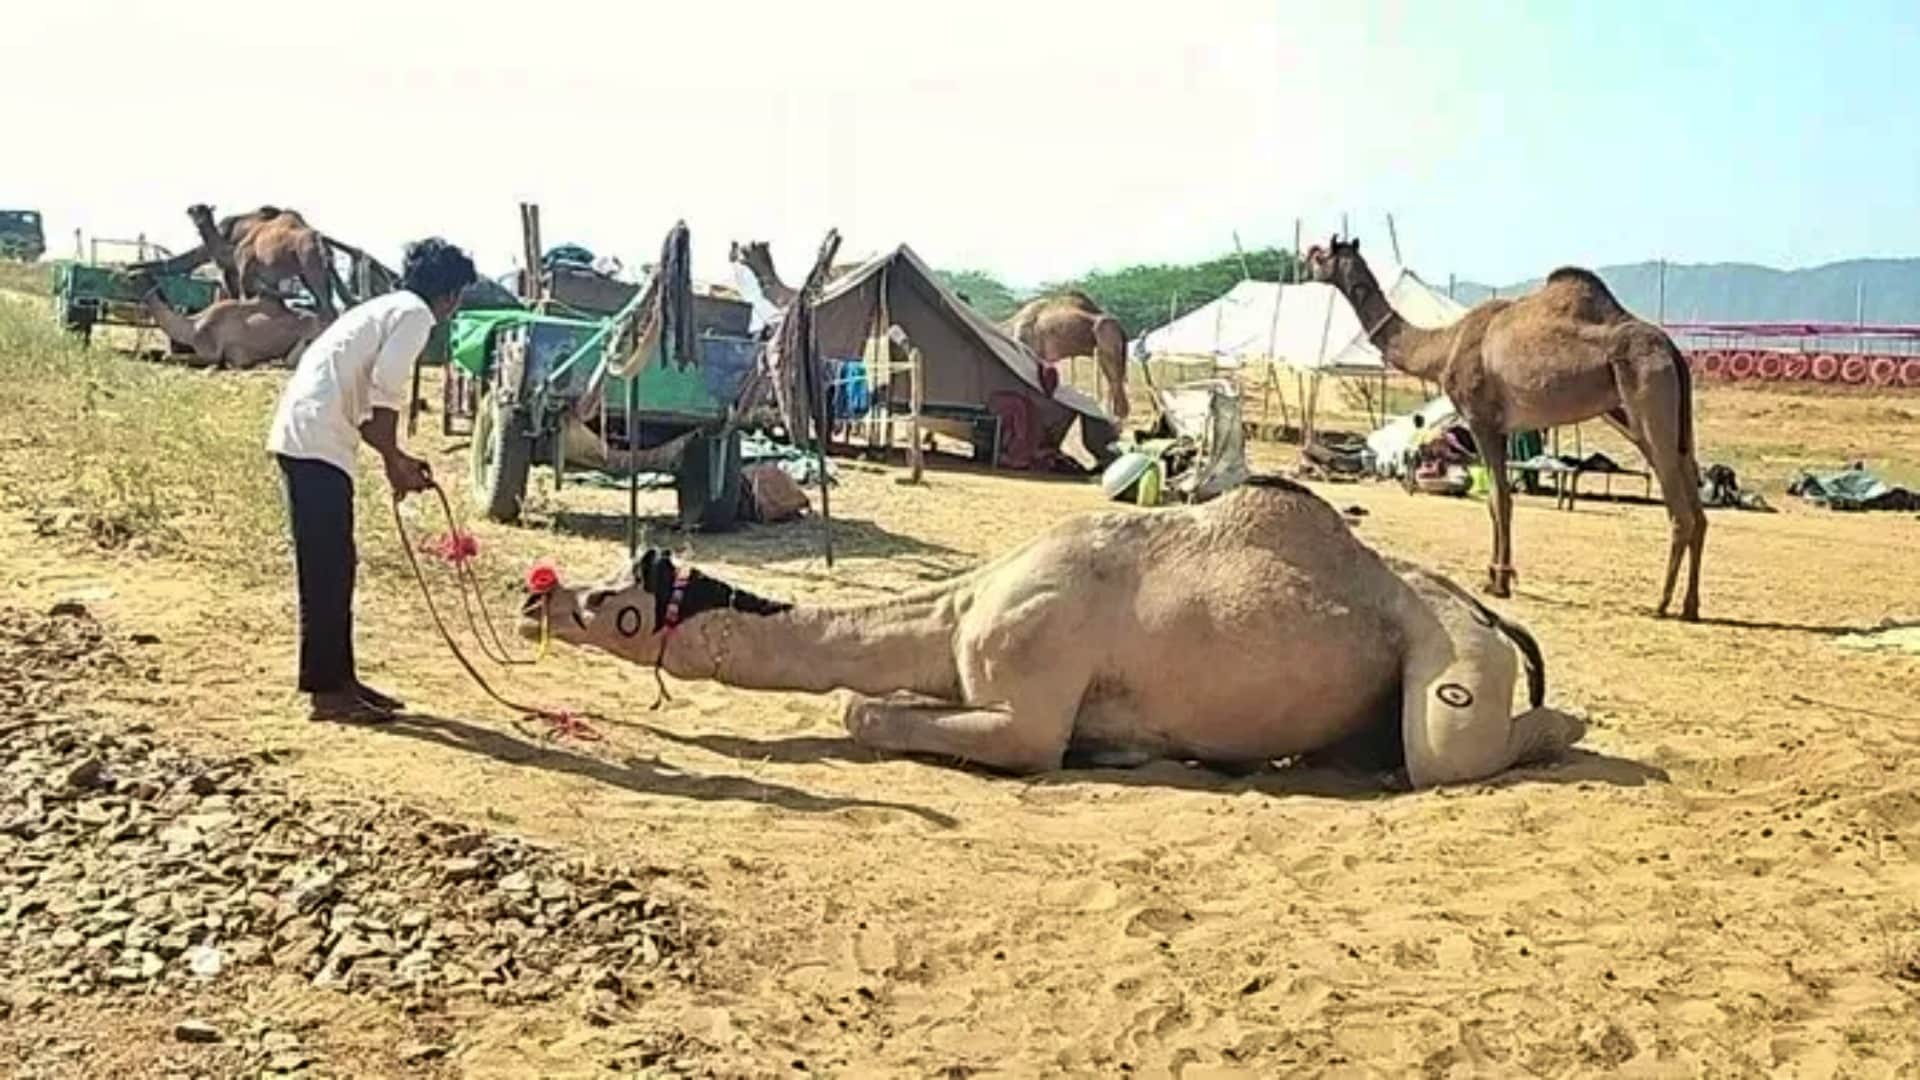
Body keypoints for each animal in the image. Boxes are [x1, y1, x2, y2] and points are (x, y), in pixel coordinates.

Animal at [518, 477, 1586, 787]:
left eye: (617, 601)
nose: (542, 599)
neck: (953, 612)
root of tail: (1489, 613)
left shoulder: (1026, 706)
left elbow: (868, 711)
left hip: (1451, 662)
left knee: (1446, 751)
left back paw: (1567, 726)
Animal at [1307, 237, 1706, 621]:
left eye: (1322, 253)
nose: (1307, 261)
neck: (1444, 346)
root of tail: (1673, 350)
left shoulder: (1481, 420)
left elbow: (1498, 499)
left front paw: (1499, 581)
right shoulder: (1502, 428)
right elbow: (1498, 500)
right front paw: (1498, 576)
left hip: (1648, 400)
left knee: (1681, 511)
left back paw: (1661, 603)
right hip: (1657, 417)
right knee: (1696, 503)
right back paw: (1691, 605)